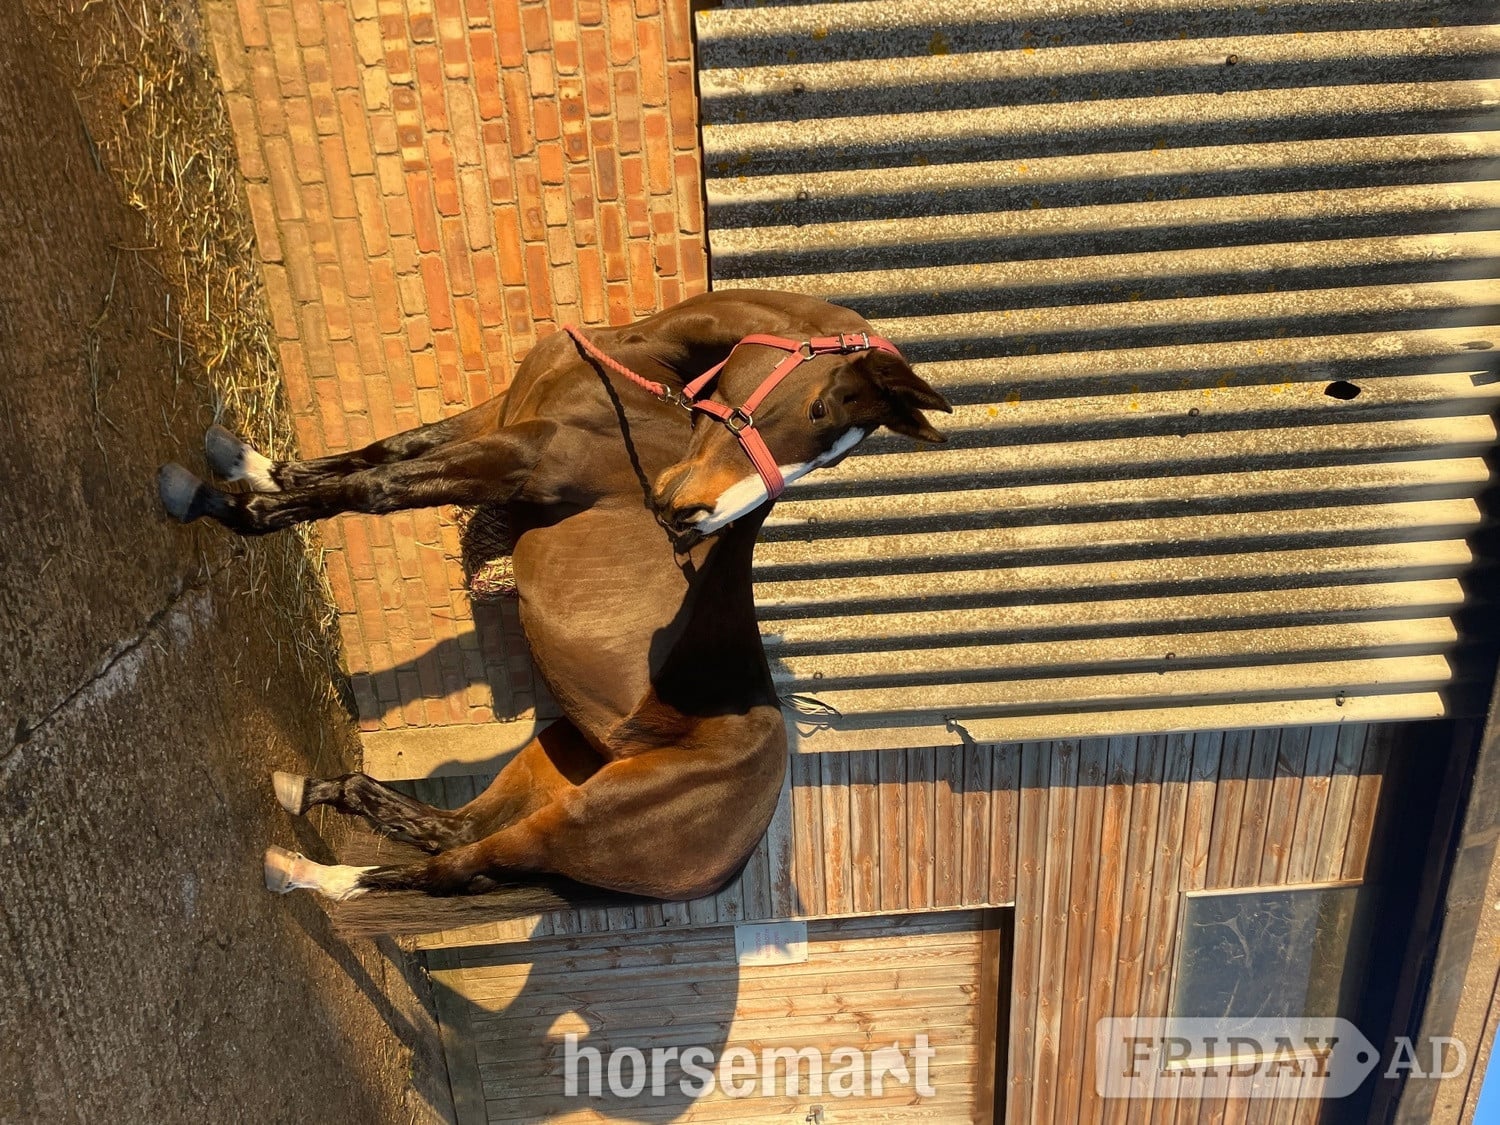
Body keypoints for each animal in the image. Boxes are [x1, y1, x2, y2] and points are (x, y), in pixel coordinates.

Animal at [157, 289, 950, 925]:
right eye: (821, 413)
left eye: (829, 449)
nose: (690, 518)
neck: (642, 375)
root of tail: (740, 846)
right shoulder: (492, 420)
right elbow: (382, 451)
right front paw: (251, 464)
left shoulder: (515, 460)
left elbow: (373, 488)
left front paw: (228, 506)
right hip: (551, 758)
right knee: (453, 830)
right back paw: (311, 793)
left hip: (569, 821)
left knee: (453, 867)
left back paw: (310, 874)